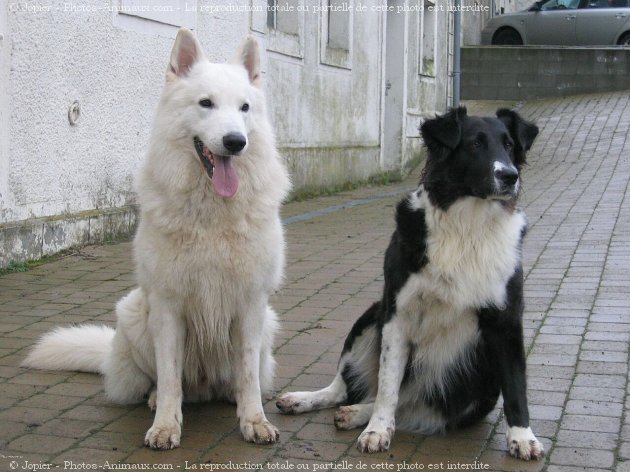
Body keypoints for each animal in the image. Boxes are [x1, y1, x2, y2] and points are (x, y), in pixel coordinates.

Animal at [278, 108, 544, 460]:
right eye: (475, 144)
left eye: (510, 144)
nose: (510, 176)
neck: (467, 228)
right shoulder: (396, 314)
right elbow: (388, 386)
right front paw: (377, 431)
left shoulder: (506, 320)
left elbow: (516, 384)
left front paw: (522, 436)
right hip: (370, 316)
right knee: (349, 388)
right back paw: (310, 401)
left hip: (477, 387)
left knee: (408, 404)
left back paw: (356, 412)